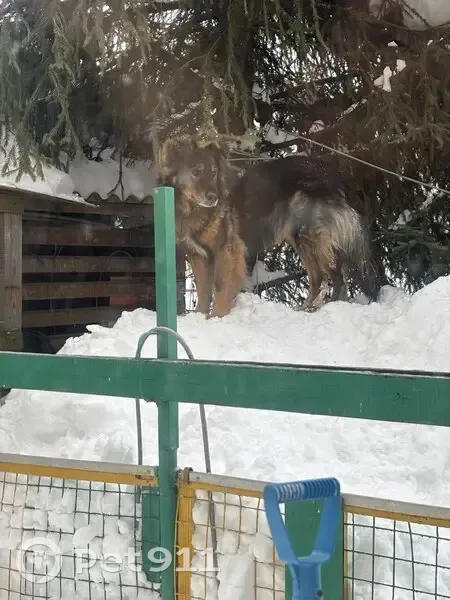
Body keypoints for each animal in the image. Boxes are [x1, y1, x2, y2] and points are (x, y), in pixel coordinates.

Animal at [157, 134, 380, 318]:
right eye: (196, 172)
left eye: (213, 173)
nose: (214, 197)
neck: (194, 210)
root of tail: (336, 175)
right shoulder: (199, 254)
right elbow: (203, 291)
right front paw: (200, 317)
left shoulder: (226, 249)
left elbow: (220, 287)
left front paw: (217, 317)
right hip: (298, 238)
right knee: (318, 277)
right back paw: (304, 309)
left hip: (309, 235)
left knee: (335, 277)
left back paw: (322, 309)